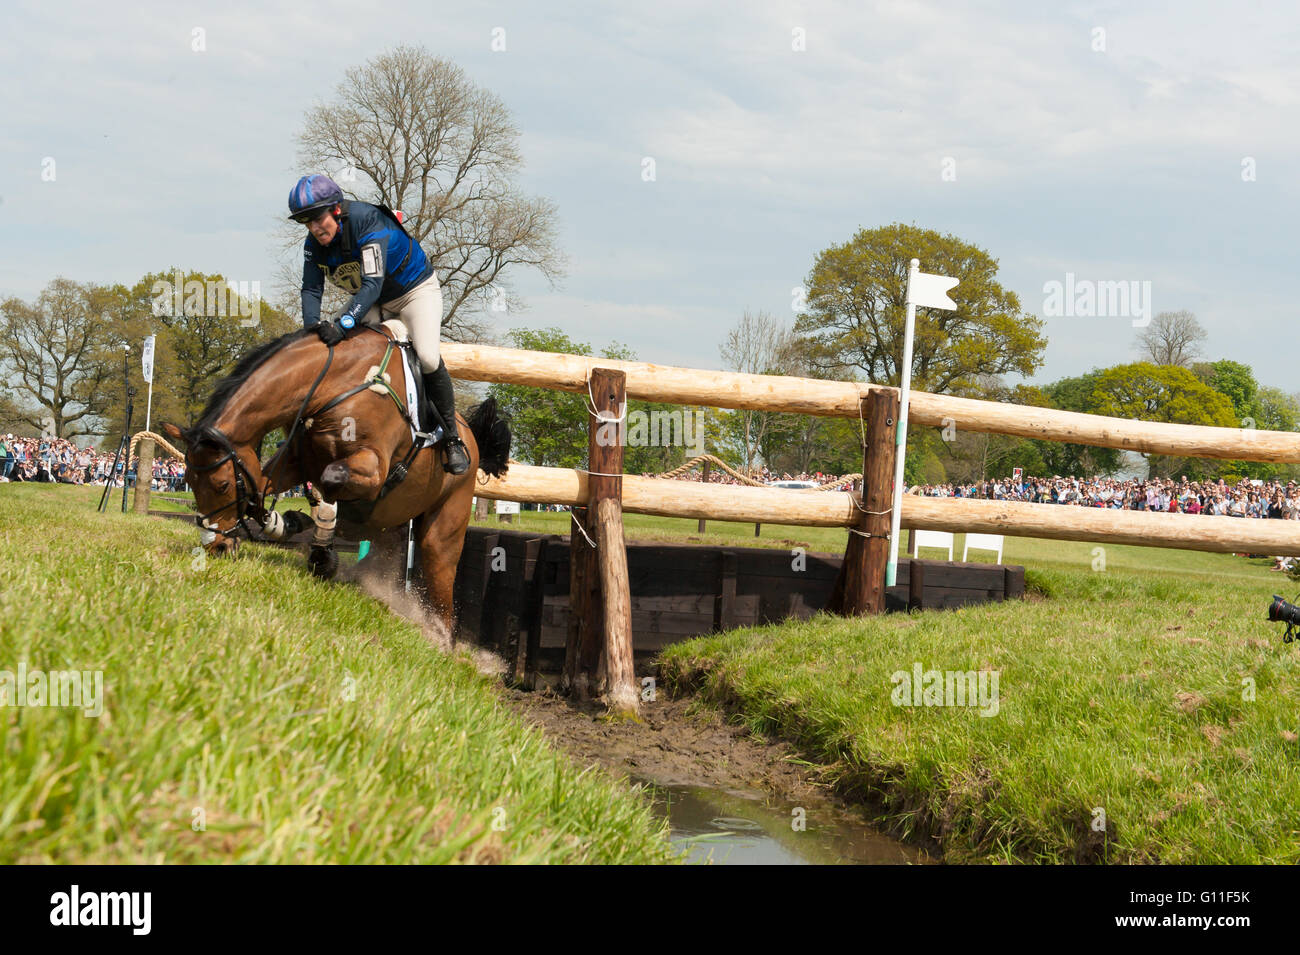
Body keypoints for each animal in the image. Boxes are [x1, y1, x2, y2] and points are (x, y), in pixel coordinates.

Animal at [161, 324, 506, 639]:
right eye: (189, 480)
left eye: (221, 485)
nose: (215, 547)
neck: (330, 386)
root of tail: (471, 437)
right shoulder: (295, 462)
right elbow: (260, 491)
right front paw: (285, 524)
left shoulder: (371, 468)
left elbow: (329, 483)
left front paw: (322, 546)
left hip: (445, 526)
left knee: (441, 592)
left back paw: (439, 640)